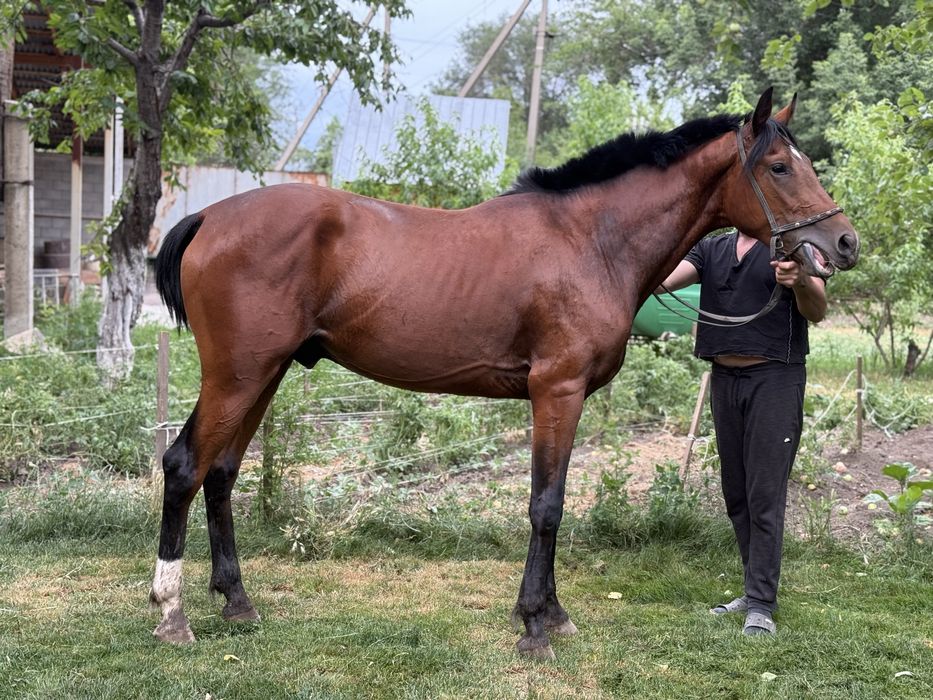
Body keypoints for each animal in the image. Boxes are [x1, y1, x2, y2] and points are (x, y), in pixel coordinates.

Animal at [150, 88, 859, 660]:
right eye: (778, 167)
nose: (845, 244)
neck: (591, 240)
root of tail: (210, 216)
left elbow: (556, 500)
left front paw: (554, 613)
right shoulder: (557, 391)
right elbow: (546, 505)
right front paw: (535, 626)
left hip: (264, 375)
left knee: (221, 472)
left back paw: (236, 602)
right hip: (237, 376)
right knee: (184, 466)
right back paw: (171, 615)